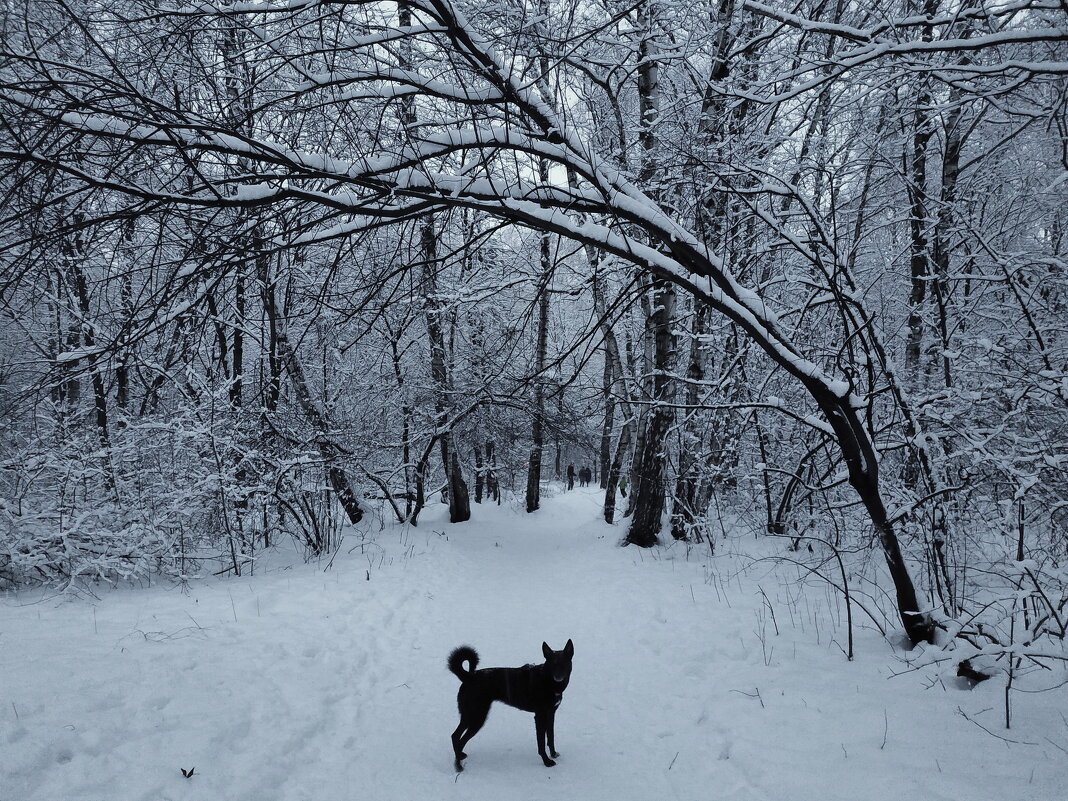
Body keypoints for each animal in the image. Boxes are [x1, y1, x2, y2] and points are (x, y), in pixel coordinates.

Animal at [444, 640, 572, 773]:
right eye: (552, 664)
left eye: (564, 663)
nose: (558, 677)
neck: (546, 681)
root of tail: (469, 677)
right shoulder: (540, 716)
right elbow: (541, 742)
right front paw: (547, 761)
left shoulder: (551, 713)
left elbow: (551, 737)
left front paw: (553, 754)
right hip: (476, 716)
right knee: (459, 739)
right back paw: (458, 766)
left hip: (469, 715)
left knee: (455, 736)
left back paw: (460, 756)